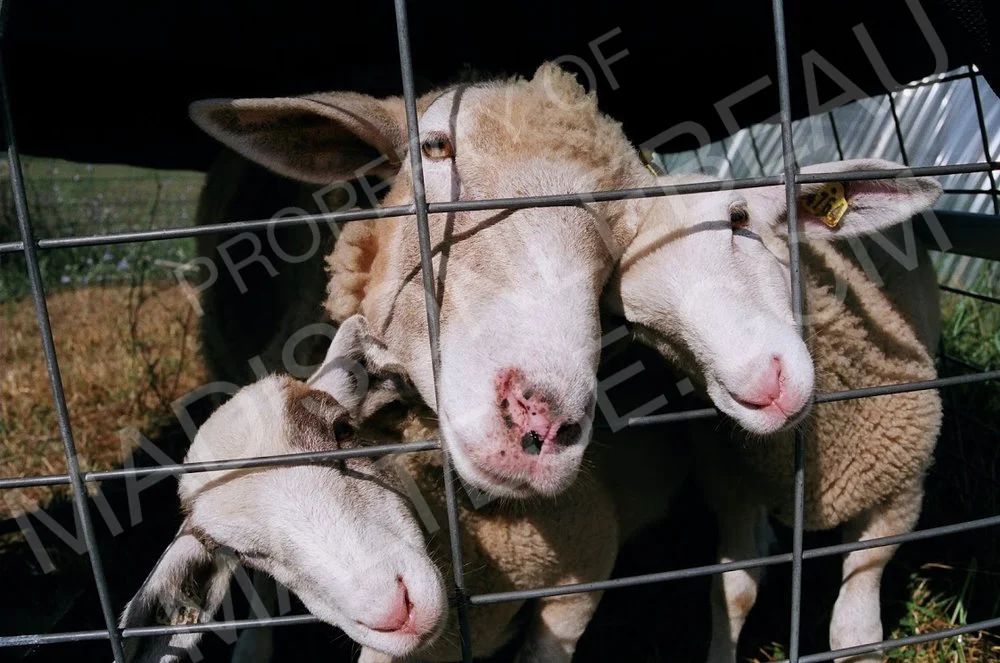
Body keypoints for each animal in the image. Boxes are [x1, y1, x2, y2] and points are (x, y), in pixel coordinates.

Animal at [604, 158, 945, 662]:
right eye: (633, 323)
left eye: (739, 217)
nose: (764, 389)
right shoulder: (733, 486)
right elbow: (733, 593)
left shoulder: (900, 493)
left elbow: (856, 633)